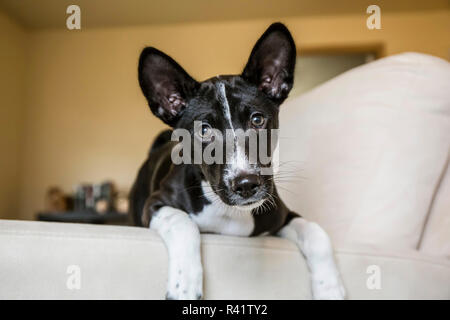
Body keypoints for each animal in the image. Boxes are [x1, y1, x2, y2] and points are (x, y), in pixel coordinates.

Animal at [128, 23, 346, 300]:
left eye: (257, 120)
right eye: (204, 130)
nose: (246, 184)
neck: (229, 212)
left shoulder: (282, 216)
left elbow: (316, 232)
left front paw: (329, 287)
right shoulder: (155, 204)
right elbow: (183, 223)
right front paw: (185, 283)